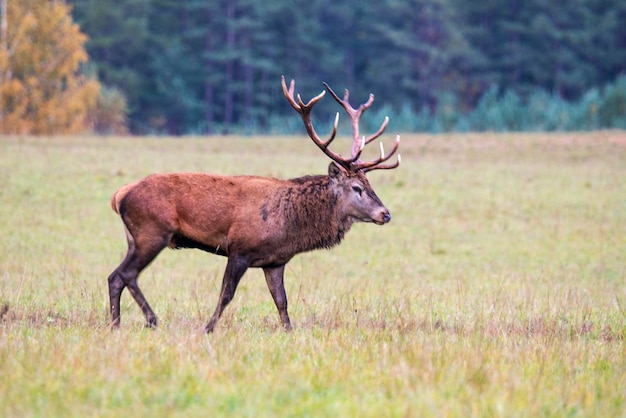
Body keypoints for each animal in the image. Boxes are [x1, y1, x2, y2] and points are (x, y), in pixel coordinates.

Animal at [107, 76, 400, 334]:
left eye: (370, 184)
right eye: (357, 188)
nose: (385, 214)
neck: (291, 226)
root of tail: (119, 195)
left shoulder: (275, 261)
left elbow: (281, 301)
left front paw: (289, 332)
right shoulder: (239, 249)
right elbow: (226, 294)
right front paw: (208, 328)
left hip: (135, 237)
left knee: (115, 276)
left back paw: (116, 324)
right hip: (152, 232)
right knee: (125, 274)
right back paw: (150, 320)